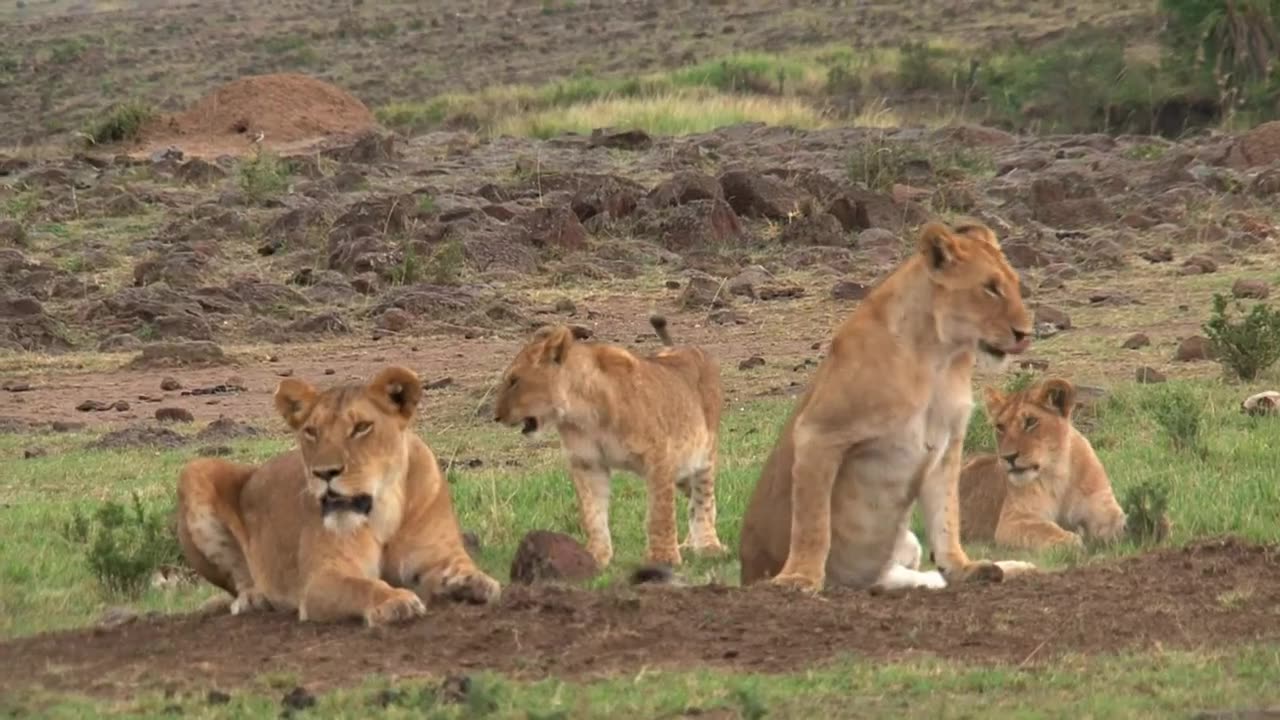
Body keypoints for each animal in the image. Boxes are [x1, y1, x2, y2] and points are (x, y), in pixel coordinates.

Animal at [177, 363, 496, 622]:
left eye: (362, 427)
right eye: (311, 431)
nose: (325, 473)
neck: (384, 508)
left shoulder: (438, 554)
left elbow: (462, 568)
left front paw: (473, 583)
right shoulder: (321, 579)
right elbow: (363, 586)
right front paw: (396, 600)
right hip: (195, 470)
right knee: (238, 582)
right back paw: (254, 600)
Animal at [488, 313, 727, 566]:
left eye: (514, 380)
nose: (496, 416)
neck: (583, 414)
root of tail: (684, 347)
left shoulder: (659, 456)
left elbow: (660, 513)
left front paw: (663, 558)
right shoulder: (587, 463)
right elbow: (592, 514)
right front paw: (595, 557)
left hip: (701, 455)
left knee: (703, 499)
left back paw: (709, 546)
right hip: (681, 467)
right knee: (695, 499)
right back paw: (690, 544)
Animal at [742, 219, 1039, 589]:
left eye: (1014, 286)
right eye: (990, 288)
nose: (1025, 333)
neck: (939, 358)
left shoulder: (948, 445)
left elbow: (946, 517)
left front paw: (964, 568)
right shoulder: (817, 431)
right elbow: (813, 521)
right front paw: (800, 578)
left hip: (907, 546)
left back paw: (1015, 567)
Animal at [962, 371, 1131, 545]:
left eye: (1031, 421)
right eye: (1000, 427)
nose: (1008, 457)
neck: (1059, 472)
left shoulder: (1103, 506)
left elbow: (1121, 524)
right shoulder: (1012, 521)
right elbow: (1043, 530)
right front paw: (1073, 540)